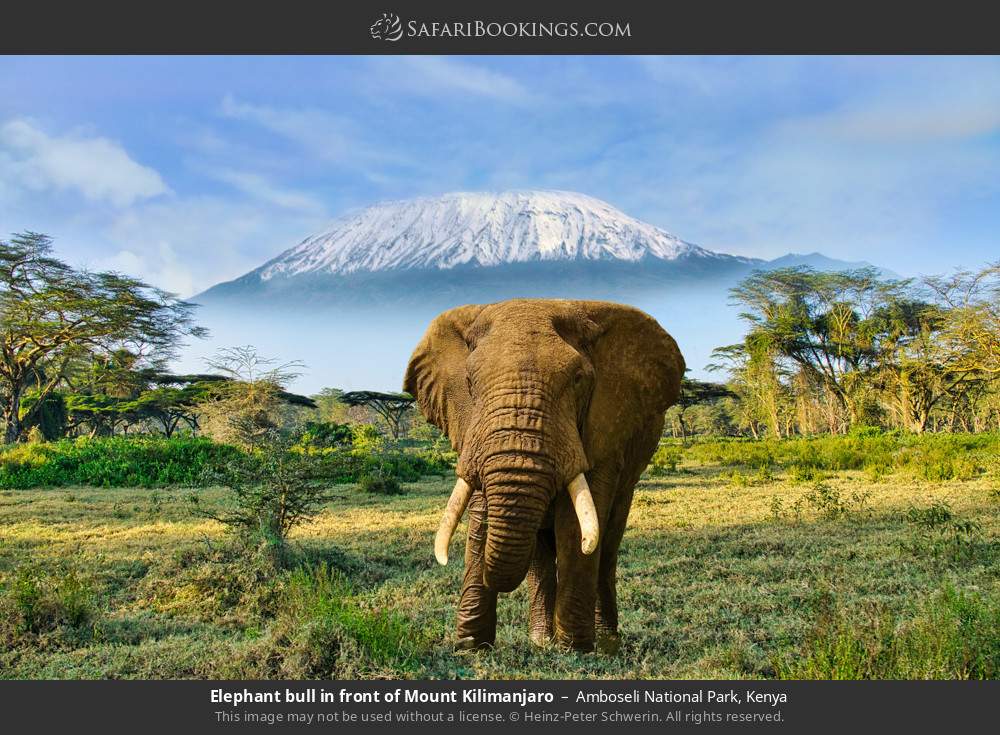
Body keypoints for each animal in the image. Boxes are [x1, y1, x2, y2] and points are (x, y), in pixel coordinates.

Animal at [404, 298, 685, 652]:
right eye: (468, 382)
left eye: (578, 379)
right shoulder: (471, 430)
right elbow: (481, 513)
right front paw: (470, 648)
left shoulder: (605, 425)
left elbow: (575, 525)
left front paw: (575, 650)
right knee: (540, 555)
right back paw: (540, 641)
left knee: (608, 543)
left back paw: (606, 642)